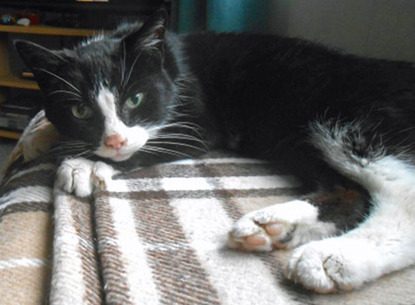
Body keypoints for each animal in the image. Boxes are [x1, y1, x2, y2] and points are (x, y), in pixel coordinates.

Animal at [14, 10, 415, 294]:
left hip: (353, 119)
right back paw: (275, 227)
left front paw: (83, 164)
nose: (112, 141)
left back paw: (334, 258)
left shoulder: (199, 123)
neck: (169, 65)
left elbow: (146, 147)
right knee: (349, 191)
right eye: (80, 110)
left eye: (135, 99)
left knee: (399, 193)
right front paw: (37, 139)